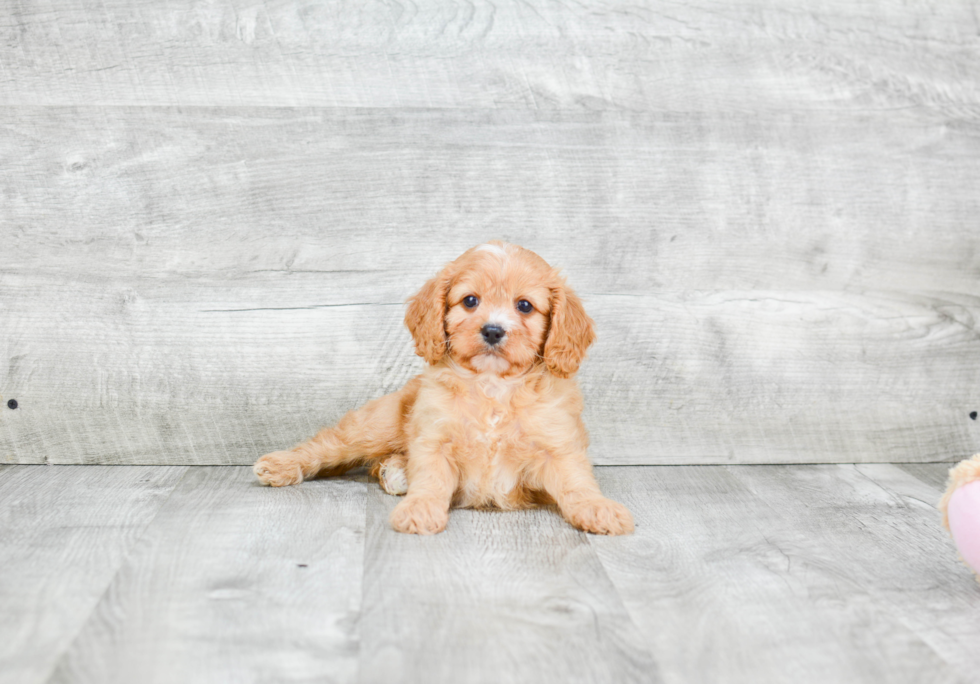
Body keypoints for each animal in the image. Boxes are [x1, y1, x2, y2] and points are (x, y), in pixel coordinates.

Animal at [255, 240, 636, 536]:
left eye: (525, 305)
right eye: (470, 301)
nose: (493, 330)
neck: (492, 386)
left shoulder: (557, 447)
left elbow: (577, 483)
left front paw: (598, 509)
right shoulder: (434, 440)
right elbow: (431, 480)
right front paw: (420, 510)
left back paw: (395, 470)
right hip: (376, 426)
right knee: (327, 444)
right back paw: (282, 465)